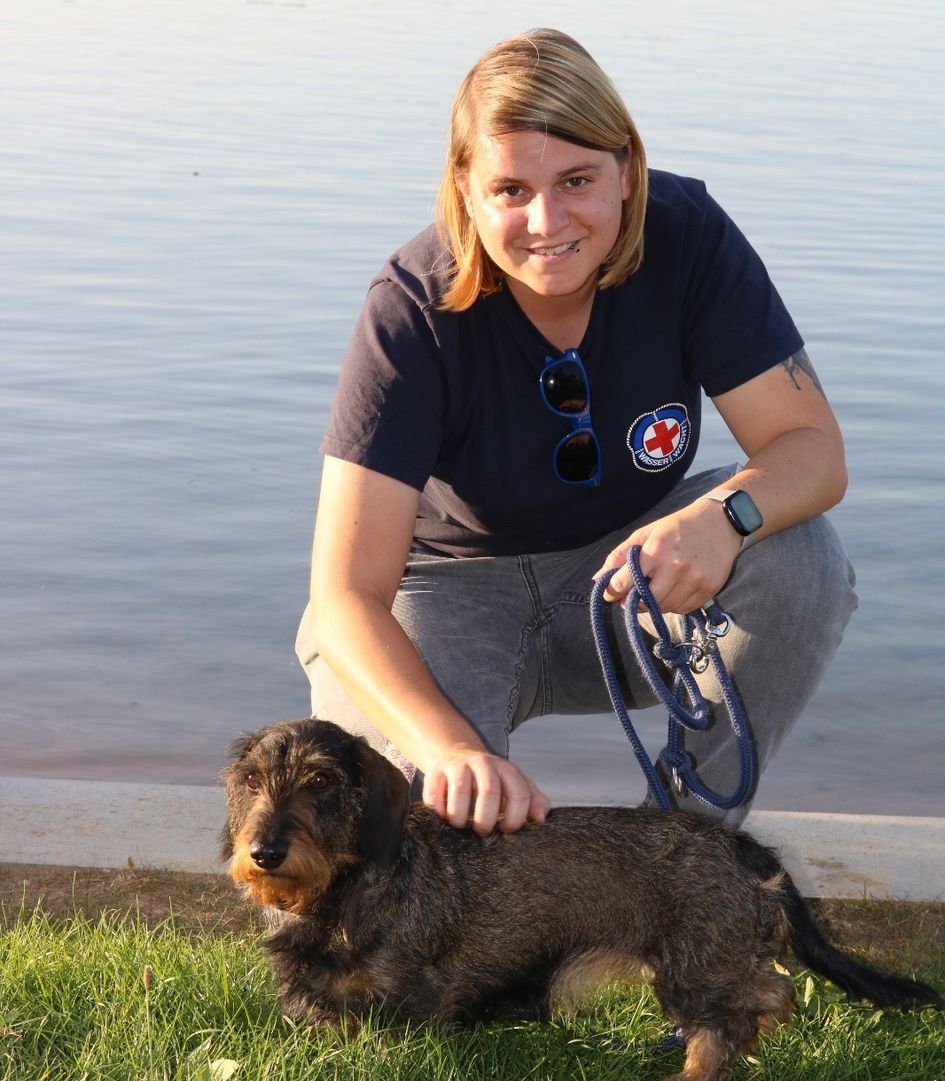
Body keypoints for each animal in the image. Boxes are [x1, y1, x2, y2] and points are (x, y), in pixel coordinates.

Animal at [219, 717, 934, 1081]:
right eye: (251, 780)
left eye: (319, 781)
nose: (264, 853)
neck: (338, 897)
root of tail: (742, 845)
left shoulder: (408, 1003)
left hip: (694, 970)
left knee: (752, 1005)